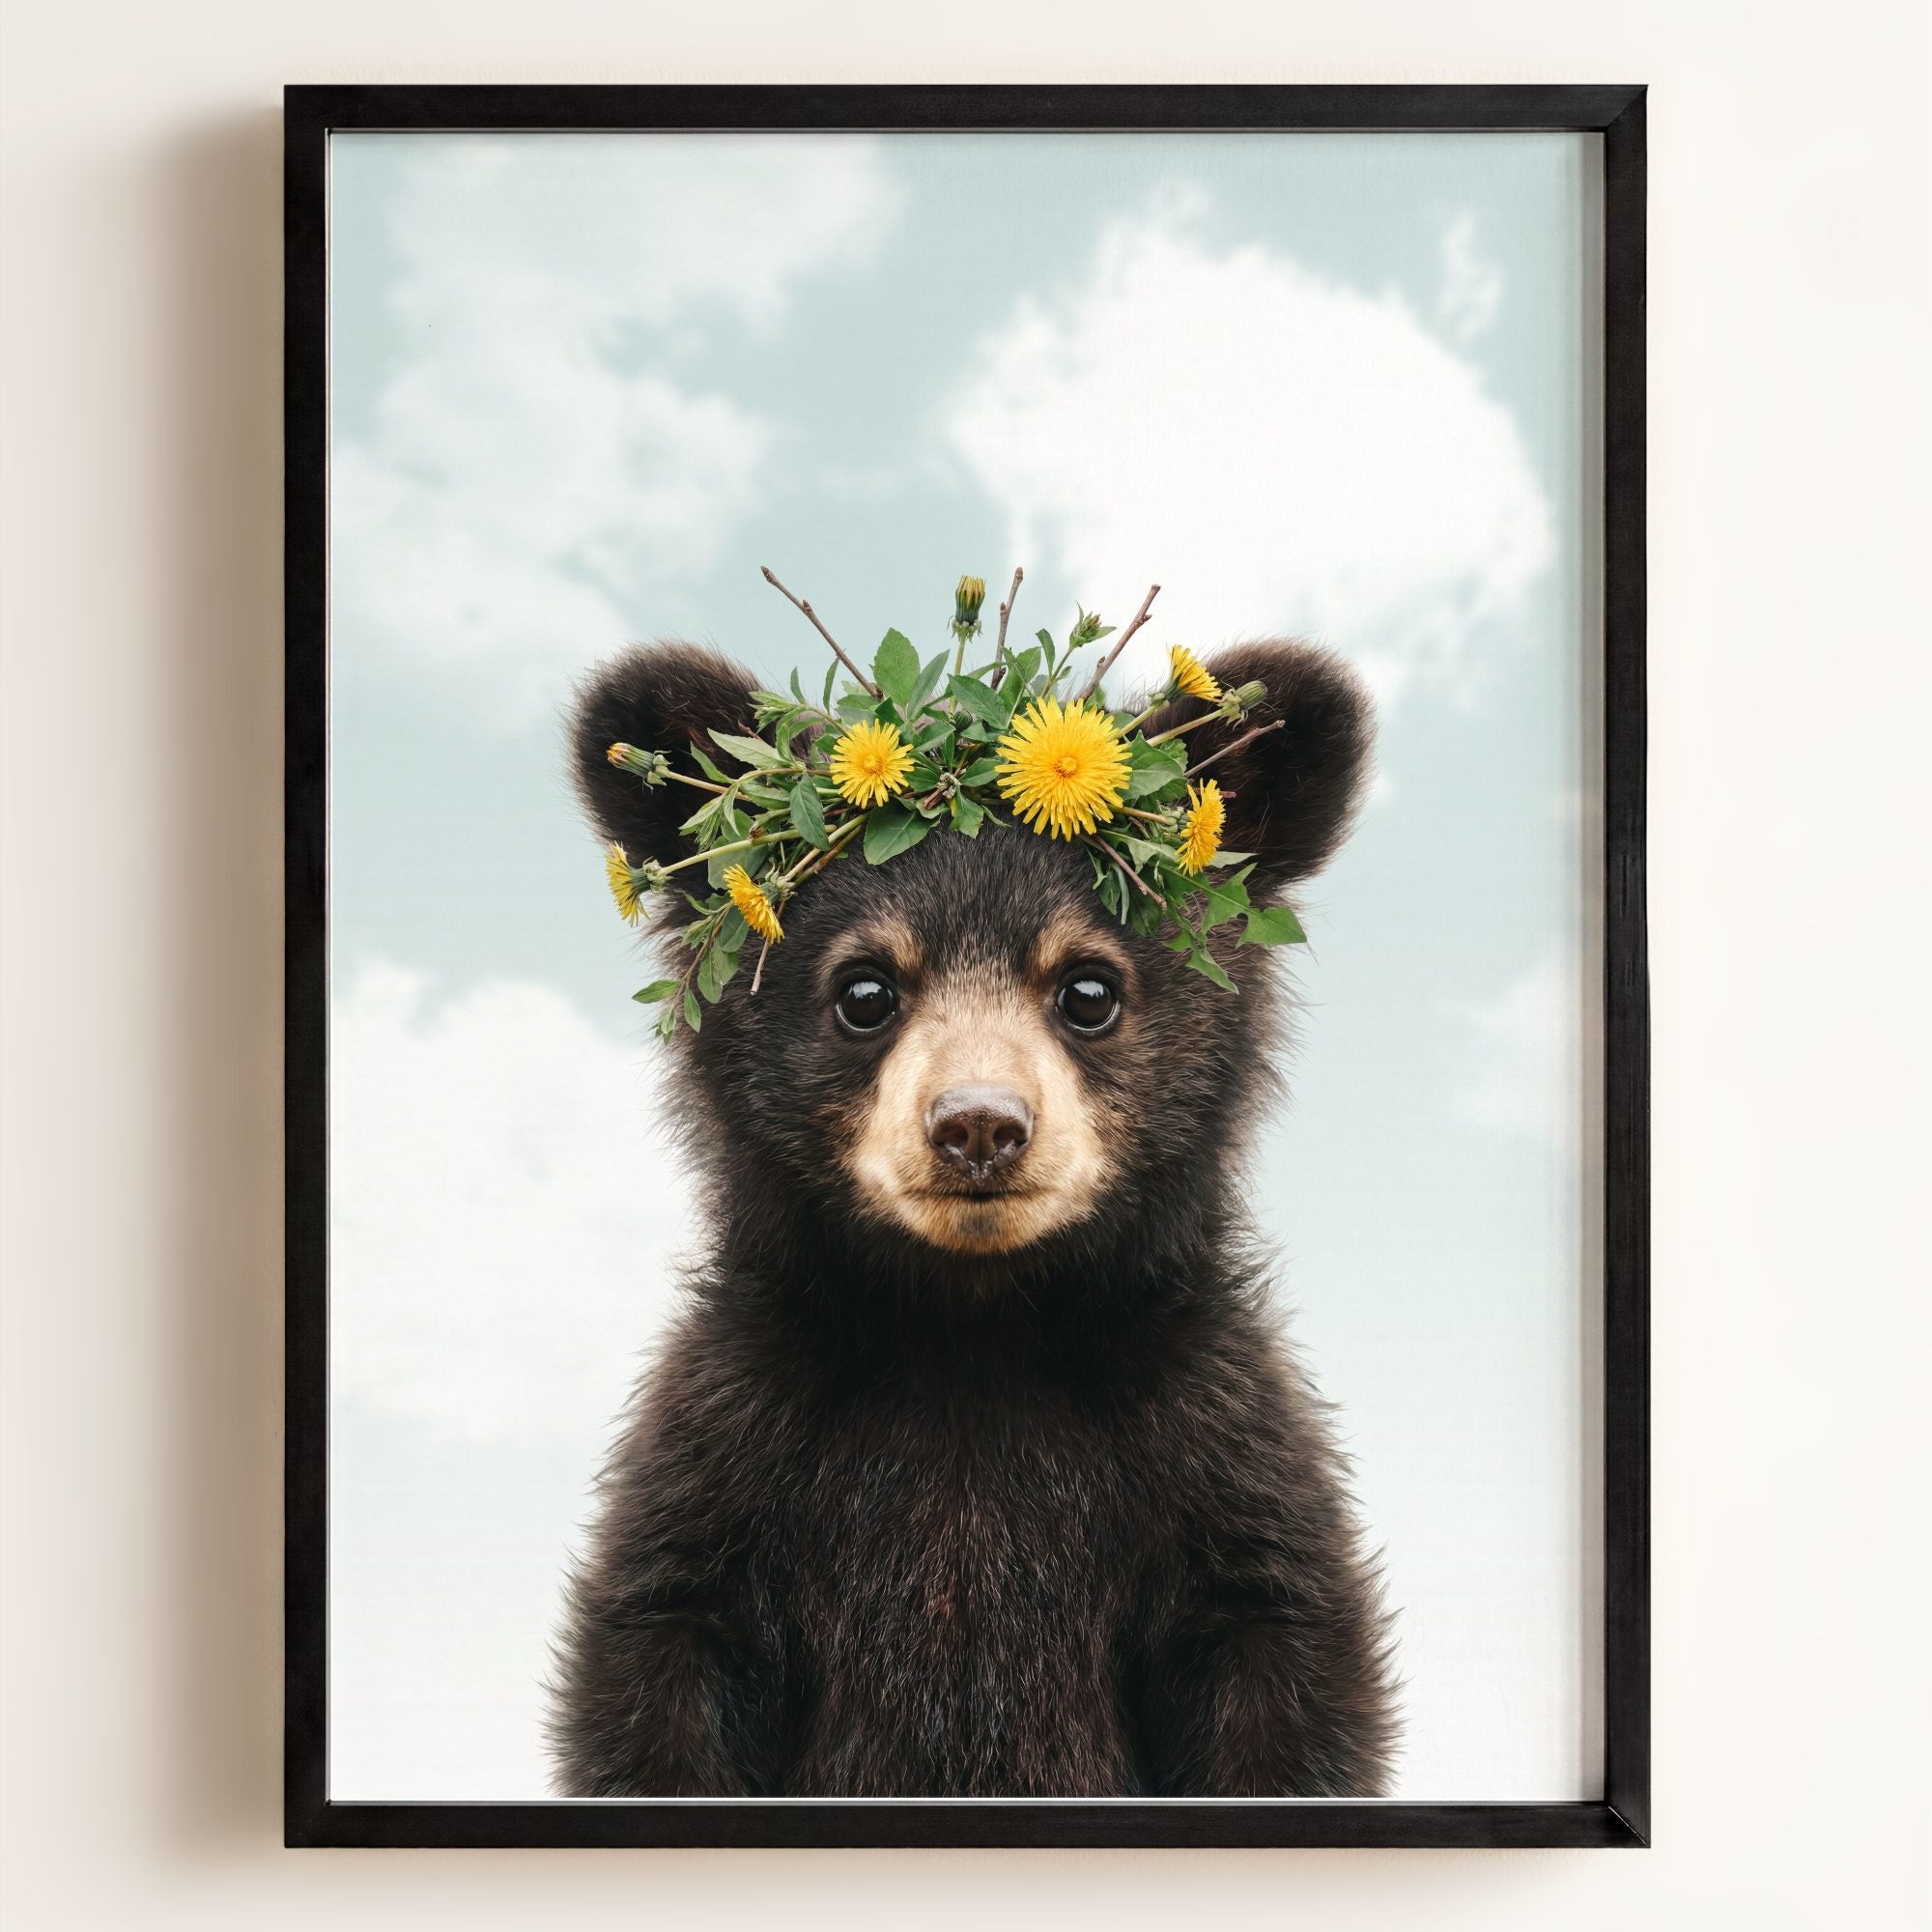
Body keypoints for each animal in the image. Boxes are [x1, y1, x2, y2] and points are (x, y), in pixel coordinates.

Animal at [547, 636, 1397, 1798]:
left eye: (1088, 988)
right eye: (864, 990)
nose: (979, 1126)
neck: (971, 1329)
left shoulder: (1213, 1449)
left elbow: (1280, 1663)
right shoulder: (730, 1449)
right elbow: (661, 1664)